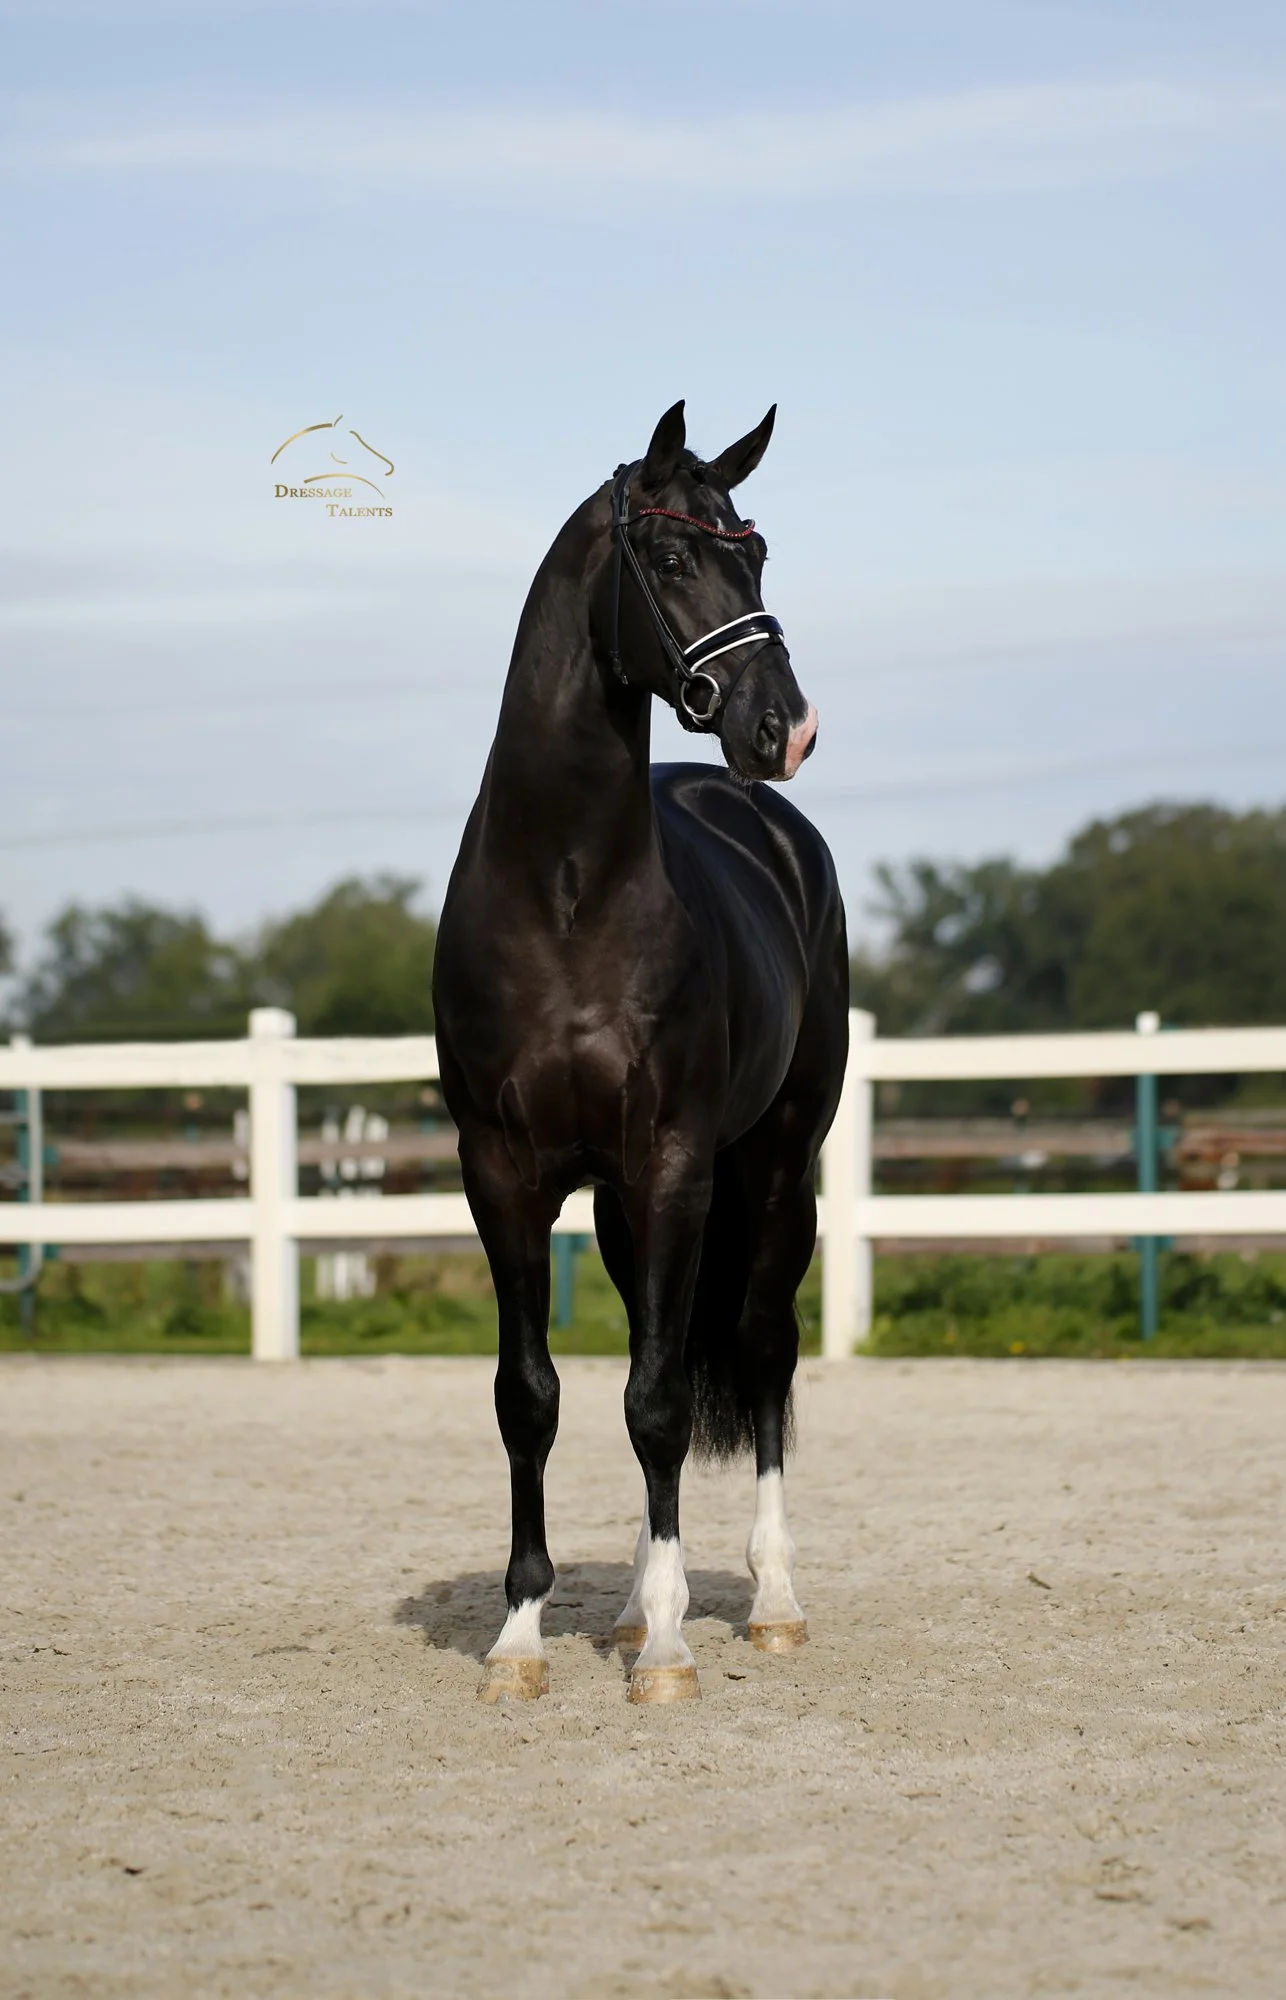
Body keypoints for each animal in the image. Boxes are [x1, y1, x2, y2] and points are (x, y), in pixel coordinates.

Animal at [432, 400, 849, 1704]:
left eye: (752, 551)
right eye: (668, 555)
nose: (785, 726)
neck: (567, 889)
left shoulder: (673, 1160)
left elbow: (662, 1399)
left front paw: (668, 1646)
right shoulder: (502, 1170)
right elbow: (533, 1396)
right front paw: (521, 1637)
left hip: (772, 1171)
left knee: (760, 1352)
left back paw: (769, 1603)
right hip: (620, 1205)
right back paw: (620, 1607)